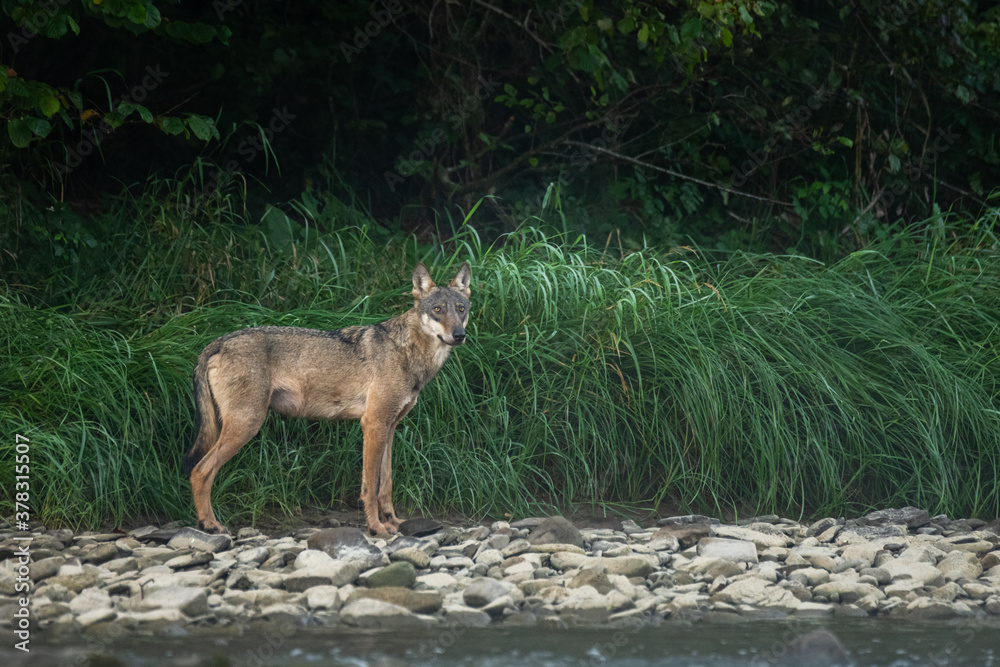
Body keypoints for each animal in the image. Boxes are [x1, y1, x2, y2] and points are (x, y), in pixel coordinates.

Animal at [182, 262, 472, 536]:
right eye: (437, 310)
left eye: (460, 309)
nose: (459, 335)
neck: (408, 353)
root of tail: (218, 342)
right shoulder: (373, 424)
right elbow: (370, 486)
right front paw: (376, 528)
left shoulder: (389, 428)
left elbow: (386, 484)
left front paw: (394, 522)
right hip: (246, 426)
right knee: (199, 471)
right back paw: (210, 525)